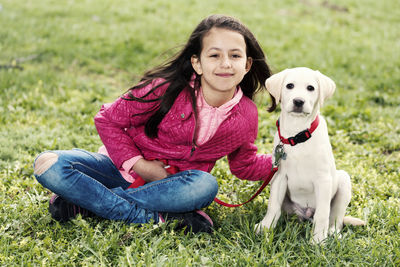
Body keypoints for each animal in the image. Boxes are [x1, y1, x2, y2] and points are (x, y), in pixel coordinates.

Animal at [255, 67, 364, 245]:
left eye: (311, 88)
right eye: (289, 85)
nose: (299, 101)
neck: (297, 133)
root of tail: (306, 213)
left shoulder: (323, 180)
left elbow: (322, 214)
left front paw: (318, 240)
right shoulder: (279, 176)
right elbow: (273, 206)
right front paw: (265, 227)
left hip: (343, 181)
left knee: (335, 217)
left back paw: (333, 232)